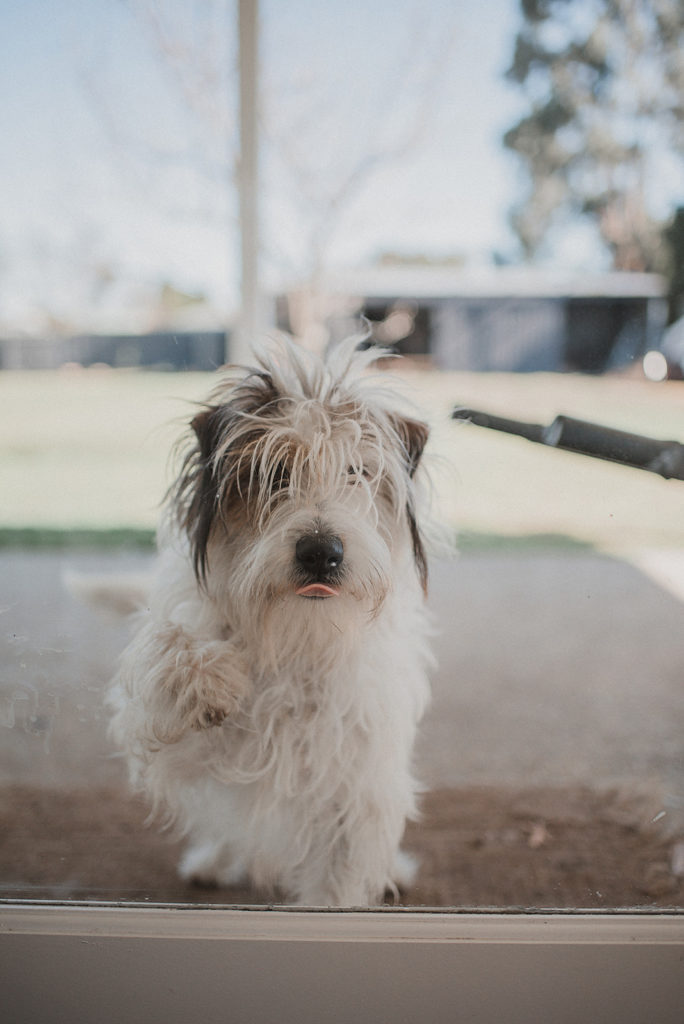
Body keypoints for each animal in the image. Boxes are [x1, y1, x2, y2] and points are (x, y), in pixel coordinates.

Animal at [109, 337, 436, 905]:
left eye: (357, 472)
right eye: (274, 475)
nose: (321, 552)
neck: (296, 635)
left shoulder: (355, 790)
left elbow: (339, 882)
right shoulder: (168, 741)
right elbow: (166, 642)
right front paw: (205, 679)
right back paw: (213, 860)